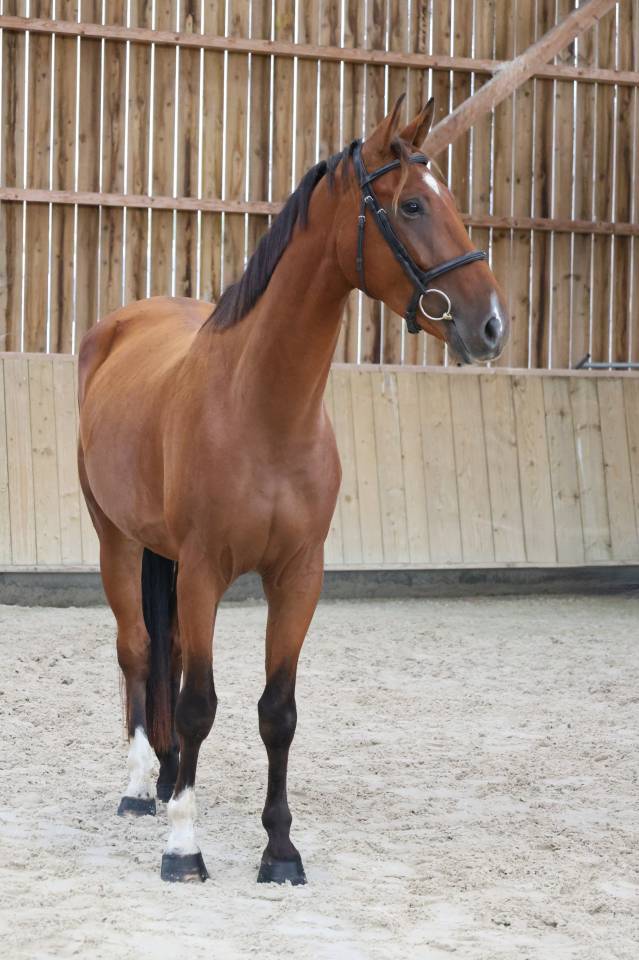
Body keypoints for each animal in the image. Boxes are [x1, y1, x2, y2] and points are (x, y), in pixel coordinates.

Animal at [77, 95, 509, 885]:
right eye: (409, 205)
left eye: (451, 203)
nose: (490, 326)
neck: (263, 410)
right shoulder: (206, 571)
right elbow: (198, 703)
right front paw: (184, 847)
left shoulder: (298, 575)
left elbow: (276, 710)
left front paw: (279, 849)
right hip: (116, 542)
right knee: (138, 651)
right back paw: (140, 788)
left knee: (165, 657)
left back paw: (167, 778)